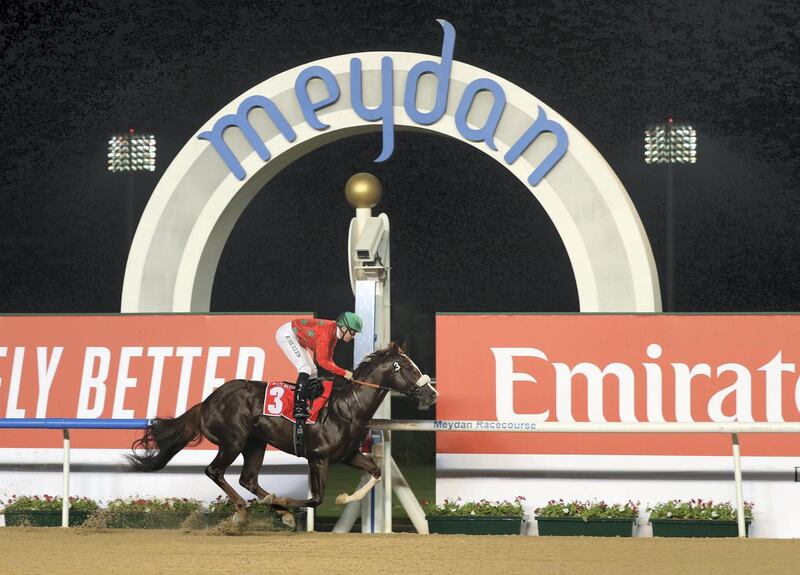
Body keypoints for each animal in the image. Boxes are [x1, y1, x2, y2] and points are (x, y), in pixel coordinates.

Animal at [126, 342, 438, 528]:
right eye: (407, 367)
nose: (432, 394)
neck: (346, 408)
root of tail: (208, 401)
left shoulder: (347, 455)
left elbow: (376, 472)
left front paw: (341, 499)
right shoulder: (318, 458)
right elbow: (315, 499)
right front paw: (288, 505)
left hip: (256, 443)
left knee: (248, 479)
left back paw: (269, 506)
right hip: (233, 441)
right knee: (215, 471)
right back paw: (244, 509)